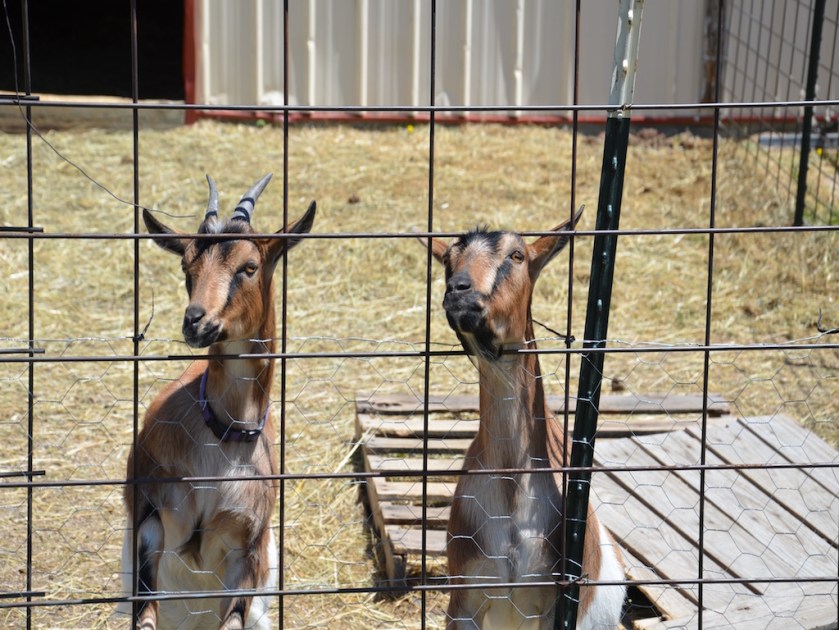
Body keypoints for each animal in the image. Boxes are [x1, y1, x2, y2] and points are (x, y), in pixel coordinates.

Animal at [120, 174, 316, 629]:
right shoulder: (152, 520)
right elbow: (145, 616)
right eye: (187, 267)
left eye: (249, 266)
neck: (223, 436)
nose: (196, 321)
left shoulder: (247, 551)